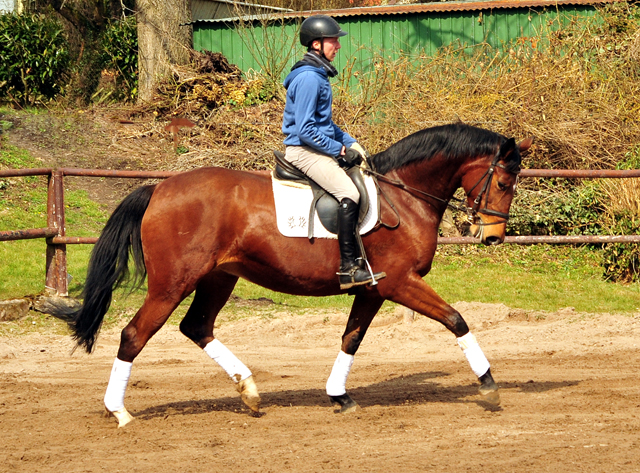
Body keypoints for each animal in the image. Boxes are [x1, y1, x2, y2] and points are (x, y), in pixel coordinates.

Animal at [58, 122, 528, 428]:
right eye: (505, 183)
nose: (492, 237)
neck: (404, 195)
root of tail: (158, 188)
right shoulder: (399, 282)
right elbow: (456, 319)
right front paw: (489, 384)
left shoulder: (373, 289)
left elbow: (351, 339)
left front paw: (339, 396)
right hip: (172, 283)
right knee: (134, 335)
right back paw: (120, 411)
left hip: (219, 277)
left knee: (196, 327)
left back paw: (248, 391)